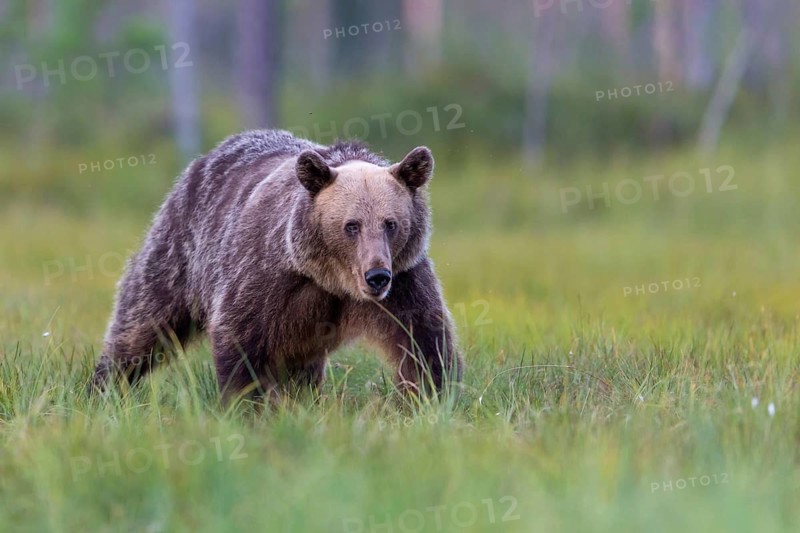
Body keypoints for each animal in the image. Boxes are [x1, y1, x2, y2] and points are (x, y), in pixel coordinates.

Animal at [91, 129, 463, 402]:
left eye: (391, 224)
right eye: (351, 225)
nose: (376, 277)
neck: (331, 279)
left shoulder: (404, 279)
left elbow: (424, 339)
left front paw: (435, 396)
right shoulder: (266, 274)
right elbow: (239, 335)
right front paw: (244, 404)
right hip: (179, 252)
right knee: (142, 323)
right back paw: (104, 386)